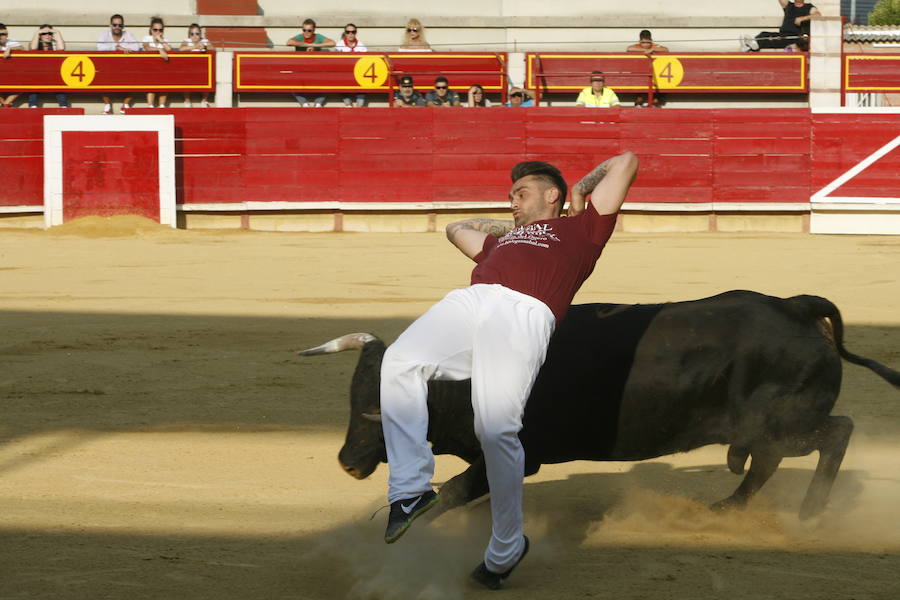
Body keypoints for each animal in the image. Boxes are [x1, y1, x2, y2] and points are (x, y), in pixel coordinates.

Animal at [300, 290, 900, 520]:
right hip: (764, 429)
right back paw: (727, 507)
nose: (347, 463)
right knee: (768, 461)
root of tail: (795, 307)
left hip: (785, 422)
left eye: (382, 406)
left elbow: (451, 492)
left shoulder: (517, 451)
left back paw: (811, 511)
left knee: (837, 432)